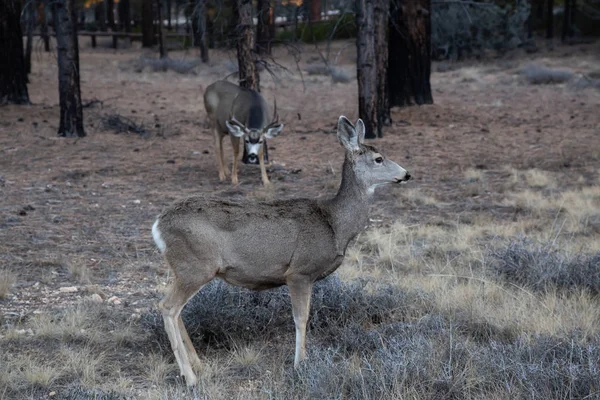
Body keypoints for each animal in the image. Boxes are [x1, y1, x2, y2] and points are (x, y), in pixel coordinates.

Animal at [152, 116, 410, 388]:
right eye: (379, 158)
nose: (406, 174)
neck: (334, 224)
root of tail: (158, 225)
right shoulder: (299, 272)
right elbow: (301, 318)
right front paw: (300, 364)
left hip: (185, 269)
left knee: (175, 310)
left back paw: (198, 364)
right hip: (195, 266)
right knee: (168, 308)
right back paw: (190, 377)